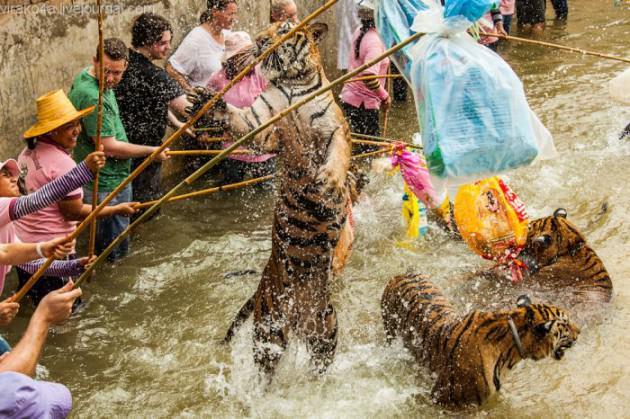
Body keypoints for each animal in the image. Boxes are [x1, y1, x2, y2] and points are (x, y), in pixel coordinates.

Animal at [201, 22, 356, 378]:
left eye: (282, 29)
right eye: (265, 29)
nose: (260, 41)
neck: (291, 85)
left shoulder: (335, 129)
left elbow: (336, 156)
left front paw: (328, 182)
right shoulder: (264, 124)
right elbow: (243, 120)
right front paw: (212, 106)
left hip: (326, 332)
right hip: (269, 331)